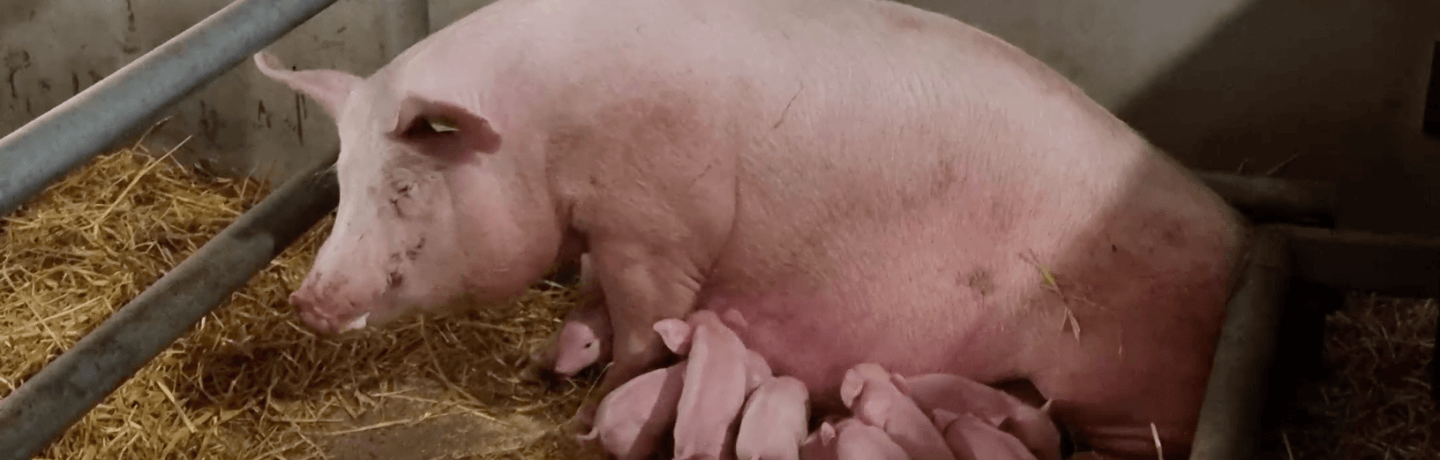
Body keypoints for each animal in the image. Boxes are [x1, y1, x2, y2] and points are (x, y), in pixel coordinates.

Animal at [253, 0, 1244, 458]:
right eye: (338, 179)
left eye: (405, 183)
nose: (308, 302)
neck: (543, 134)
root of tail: (1238, 241)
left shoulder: (650, 228)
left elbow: (640, 332)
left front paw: (587, 403)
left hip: (1123, 386)